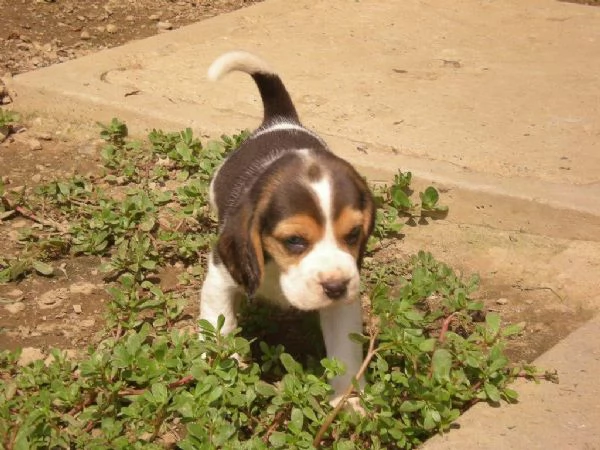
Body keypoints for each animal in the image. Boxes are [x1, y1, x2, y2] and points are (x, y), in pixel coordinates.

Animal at [199, 51, 372, 406]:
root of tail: (281, 120)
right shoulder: (220, 277)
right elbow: (220, 324)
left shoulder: (343, 305)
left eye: (352, 235)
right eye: (294, 240)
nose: (336, 286)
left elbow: (345, 356)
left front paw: (348, 404)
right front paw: (224, 369)